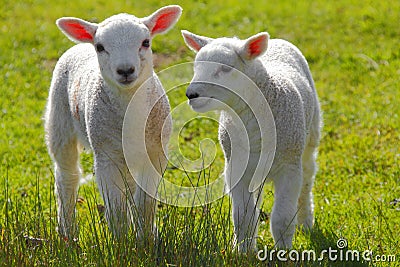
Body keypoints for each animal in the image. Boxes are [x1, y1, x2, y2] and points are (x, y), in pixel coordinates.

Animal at [44, 5, 182, 240]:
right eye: (100, 47)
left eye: (146, 42)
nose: (125, 70)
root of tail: (80, 45)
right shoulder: (106, 156)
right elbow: (116, 208)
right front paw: (121, 242)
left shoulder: (154, 153)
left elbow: (145, 203)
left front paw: (147, 239)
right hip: (59, 120)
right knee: (67, 177)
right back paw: (67, 232)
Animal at [182, 30, 322, 252]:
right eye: (196, 67)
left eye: (226, 69)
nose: (191, 94)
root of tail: (276, 41)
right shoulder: (237, 168)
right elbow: (243, 217)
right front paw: (243, 251)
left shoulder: (289, 168)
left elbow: (282, 217)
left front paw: (284, 251)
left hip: (309, 136)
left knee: (307, 179)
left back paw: (306, 221)